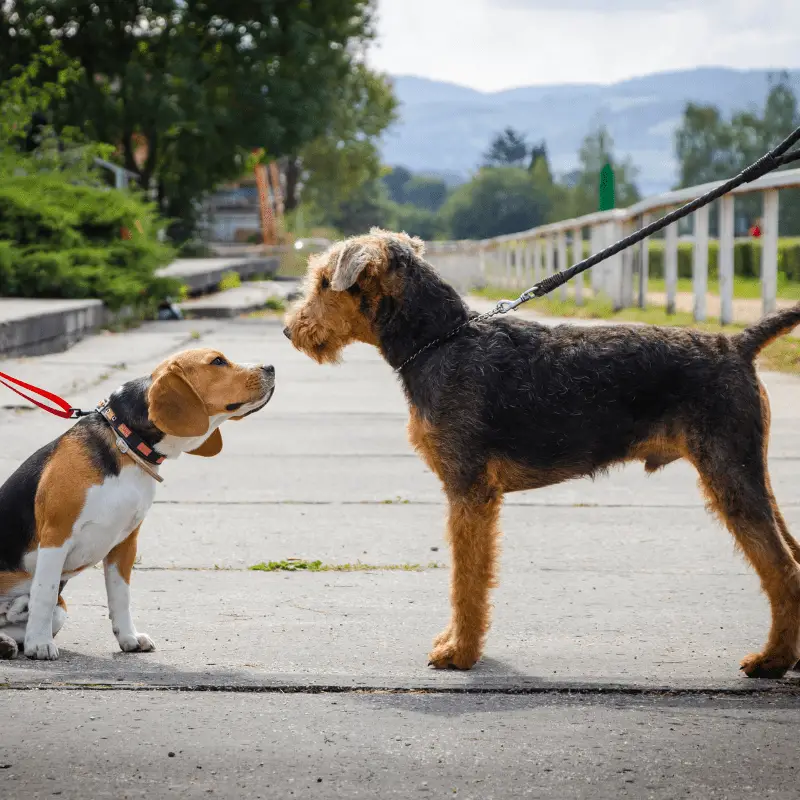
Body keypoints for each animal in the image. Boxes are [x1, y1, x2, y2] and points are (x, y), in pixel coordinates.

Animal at [286, 228, 800, 680]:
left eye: (323, 282)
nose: (291, 330)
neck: (439, 341)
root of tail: (737, 344)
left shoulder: (469, 491)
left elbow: (467, 580)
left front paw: (459, 653)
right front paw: (456, 644)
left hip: (731, 475)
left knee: (783, 569)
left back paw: (770, 661)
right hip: (750, 474)